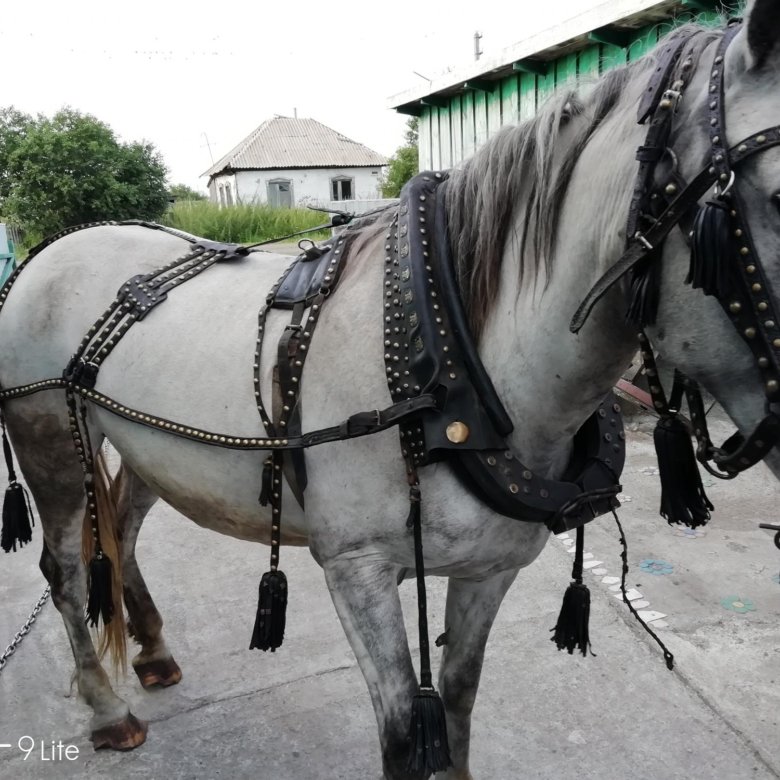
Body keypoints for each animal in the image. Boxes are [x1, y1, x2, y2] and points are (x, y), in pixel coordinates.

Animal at [1, 3, 780, 776]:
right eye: (773, 197)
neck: (450, 368)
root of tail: (50, 250)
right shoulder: (359, 572)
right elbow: (406, 732)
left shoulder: (490, 569)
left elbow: (458, 703)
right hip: (50, 441)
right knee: (65, 568)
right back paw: (108, 710)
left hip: (148, 449)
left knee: (123, 529)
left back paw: (154, 652)